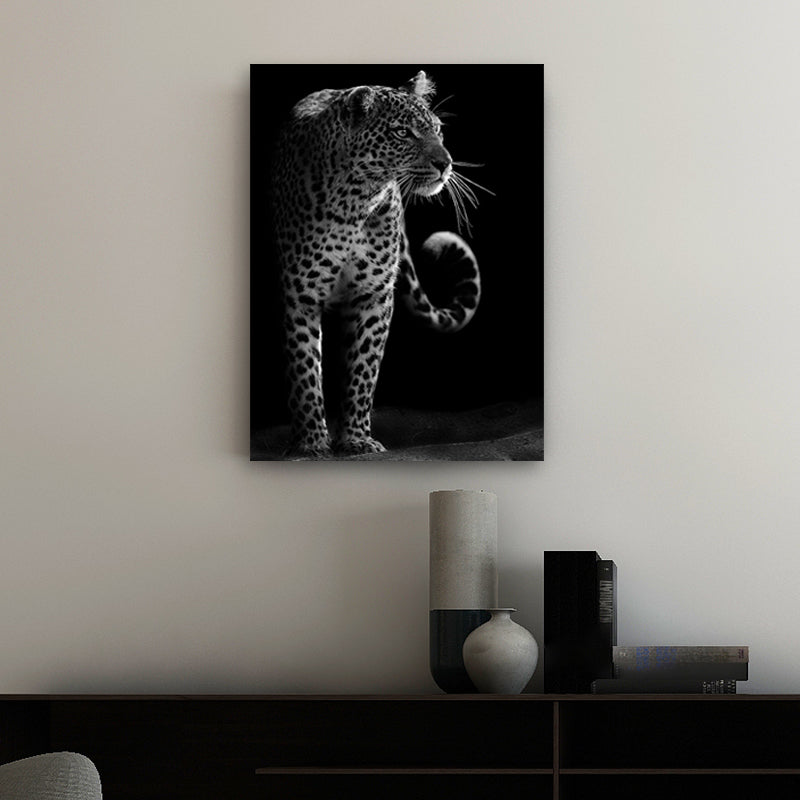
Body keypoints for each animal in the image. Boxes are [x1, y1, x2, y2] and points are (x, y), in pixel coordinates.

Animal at [271, 71, 481, 458]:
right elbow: (304, 369)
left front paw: (356, 438)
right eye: (402, 132)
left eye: (437, 130)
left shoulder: (373, 296)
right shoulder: (300, 294)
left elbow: (363, 368)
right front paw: (310, 442)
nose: (445, 164)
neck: (354, 200)